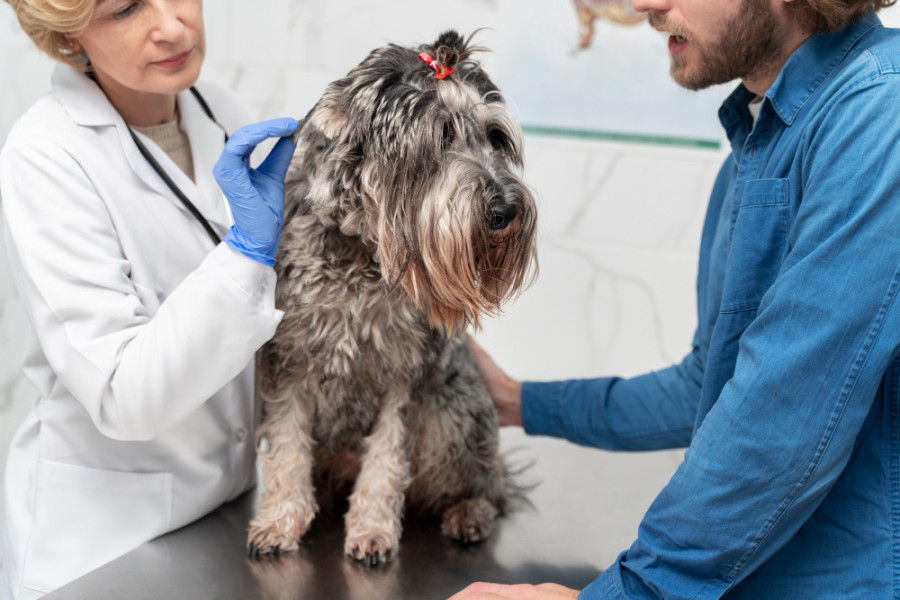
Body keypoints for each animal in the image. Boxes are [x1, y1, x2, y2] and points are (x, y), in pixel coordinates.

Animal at [250, 30, 536, 564]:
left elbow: (386, 460)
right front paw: (280, 521)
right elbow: (286, 448)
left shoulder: (405, 376)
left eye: (495, 138)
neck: (364, 251)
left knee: (490, 485)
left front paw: (372, 531)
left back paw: (469, 513)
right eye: (440, 136)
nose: (506, 209)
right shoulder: (289, 366)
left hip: (453, 418)